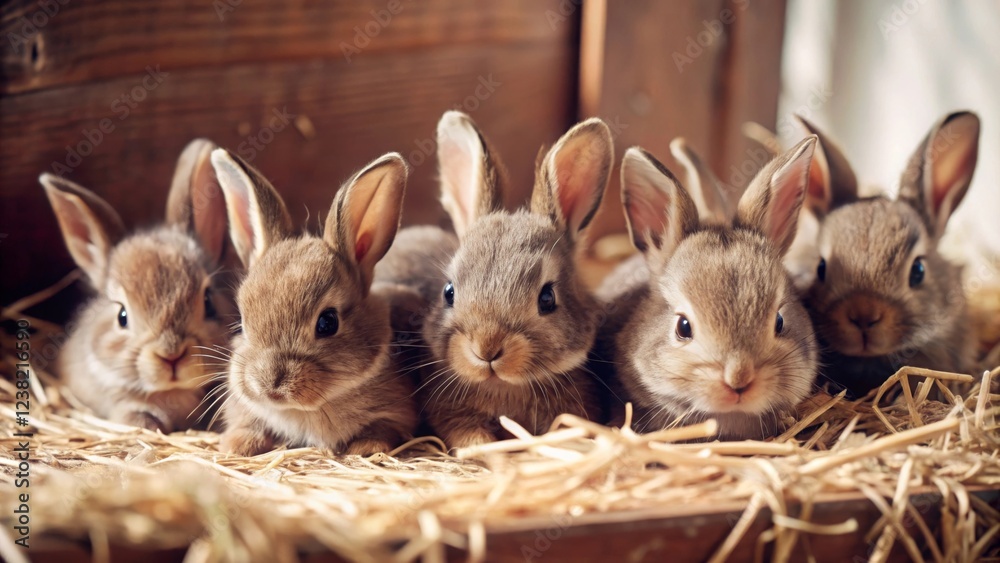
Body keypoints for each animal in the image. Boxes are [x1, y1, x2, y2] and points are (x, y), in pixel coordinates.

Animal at [210, 149, 419, 457]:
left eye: (327, 322)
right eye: (242, 323)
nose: (270, 385)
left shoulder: (397, 414)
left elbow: (383, 429)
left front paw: (365, 448)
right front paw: (237, 445)